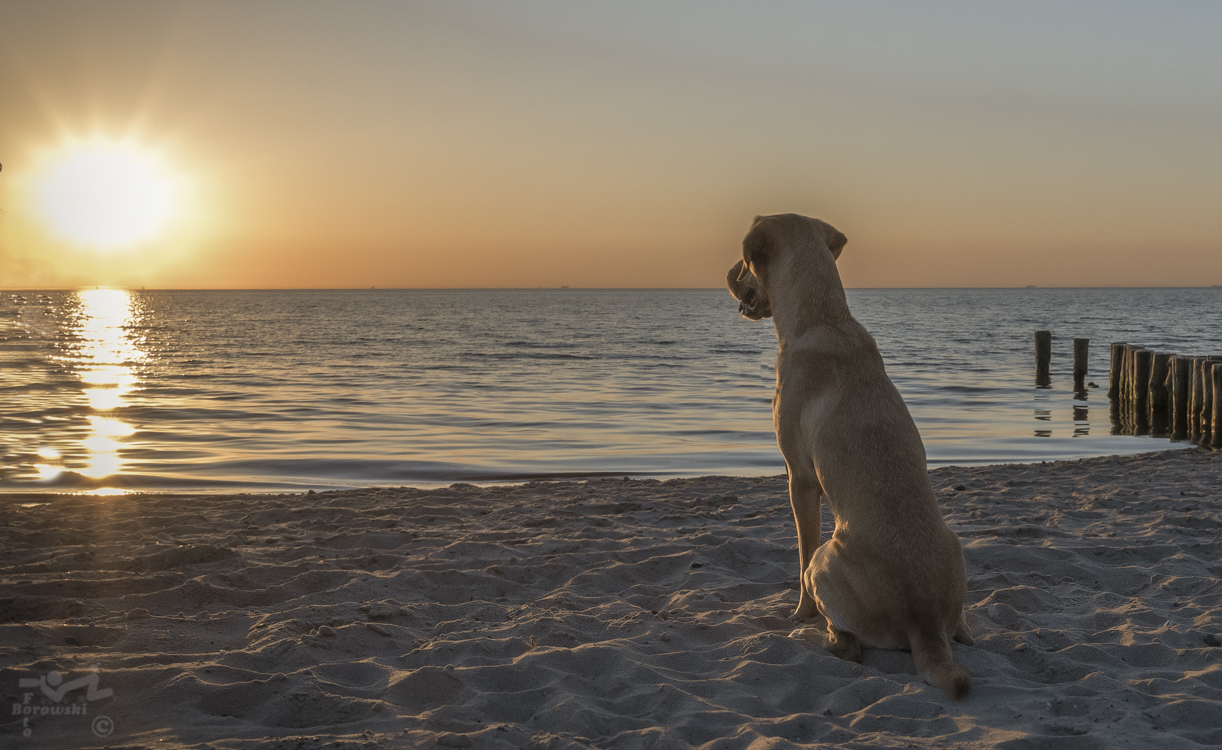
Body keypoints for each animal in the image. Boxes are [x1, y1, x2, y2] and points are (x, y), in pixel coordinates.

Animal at [723, 214, 972, 703]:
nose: (725, 273)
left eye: (744, 264)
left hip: (827, 560)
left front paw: (799, 613)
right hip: (954, 545)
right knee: (962, 631)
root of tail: (924, 617)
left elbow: (799, 557)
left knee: (848, 639)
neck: (824, 315)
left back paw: (824, 637)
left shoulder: (799, 479)